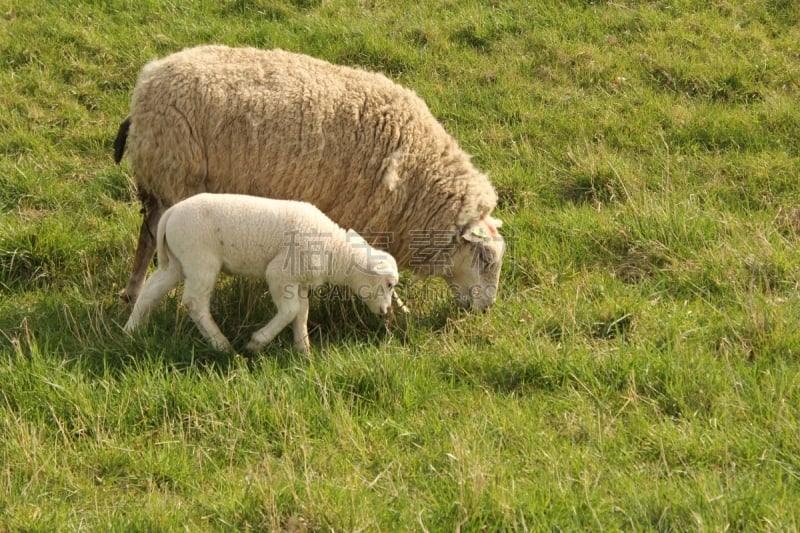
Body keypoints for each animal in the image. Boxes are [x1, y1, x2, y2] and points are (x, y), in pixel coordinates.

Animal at [114, 46, 506, 312]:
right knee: (155, 236)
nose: (485, 310)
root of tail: (146, 85)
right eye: (486, 260)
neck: (419, 177)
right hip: (177, 177)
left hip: (158, 181)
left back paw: (132, 291)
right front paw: (397, 305)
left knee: (147, 235)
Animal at [122, 192, 400, 354]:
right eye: (389, 285)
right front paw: (257, 342)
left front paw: (303, 350)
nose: (385, 311)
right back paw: (222, 345)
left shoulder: (299, 282)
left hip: (177, 261)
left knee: (150, 292)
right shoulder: (279, 274)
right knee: (194, 302)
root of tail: (170, 214)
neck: (335, 251)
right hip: (200, 259)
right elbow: (290, 310)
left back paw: (131, 331)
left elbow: (301, 312)